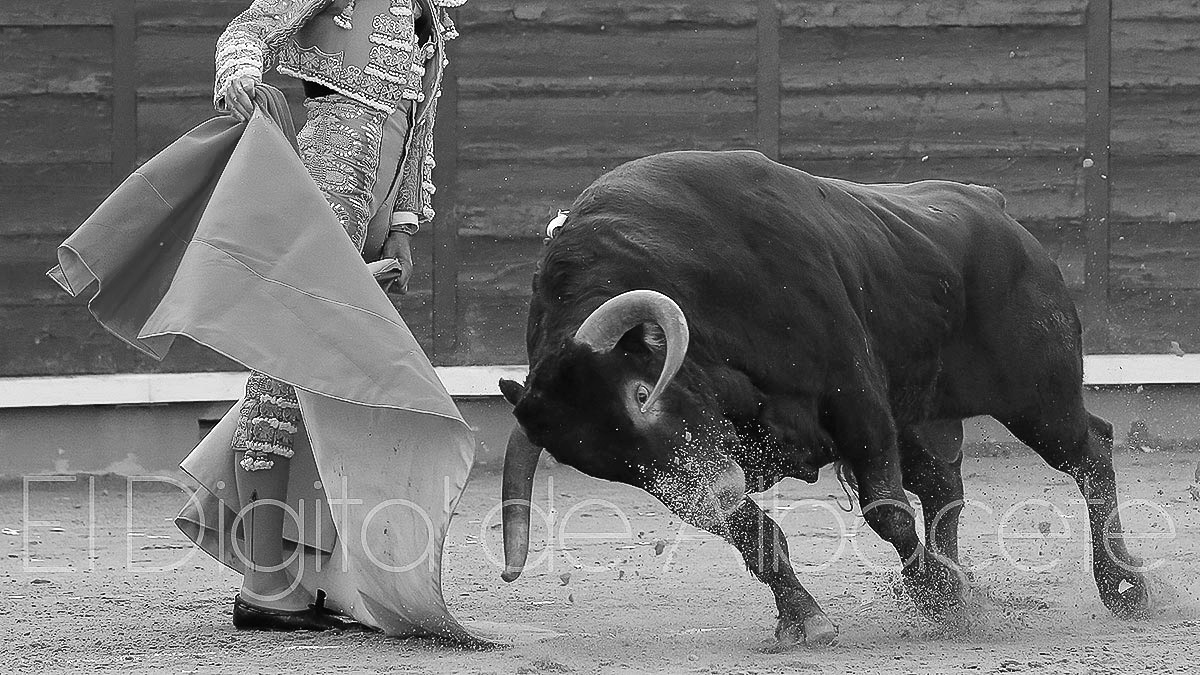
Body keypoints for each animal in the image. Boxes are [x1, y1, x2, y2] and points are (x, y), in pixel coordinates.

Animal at [494, 149, 1142, 643]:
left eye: (639, 392)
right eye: (606, 465)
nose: (712, 497)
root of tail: (992, 206)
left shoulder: (855, 398)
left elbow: (886, 511)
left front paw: (936, 597)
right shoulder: (714, 466)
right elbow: (757, 535)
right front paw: (809, 620)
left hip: (1038, 398)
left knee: (1090, 451)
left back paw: (1125, 588)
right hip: (926, 416)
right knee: (944, 490)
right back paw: (965, 588)